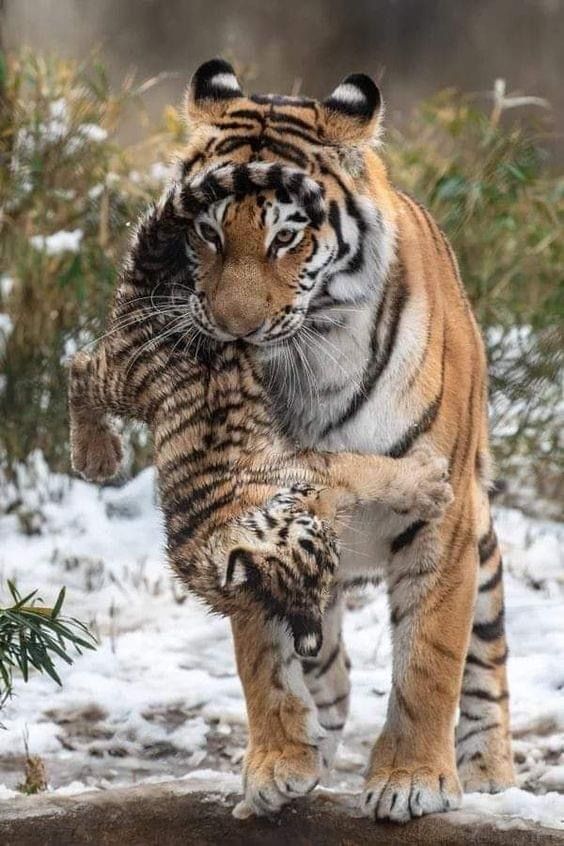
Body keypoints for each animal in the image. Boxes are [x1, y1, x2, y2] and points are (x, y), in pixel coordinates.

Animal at [176, 58, 516, 820]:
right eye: (207, 231)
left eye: (287, 236)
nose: (235, 328)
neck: (303, 369)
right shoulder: (247, 512)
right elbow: (261, 658)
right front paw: (279, 762)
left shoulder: (444, 517)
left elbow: (430, 659)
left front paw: (412, 779)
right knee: (324, 661)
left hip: (481, 536)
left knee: (486, 656)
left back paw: (490, 771)